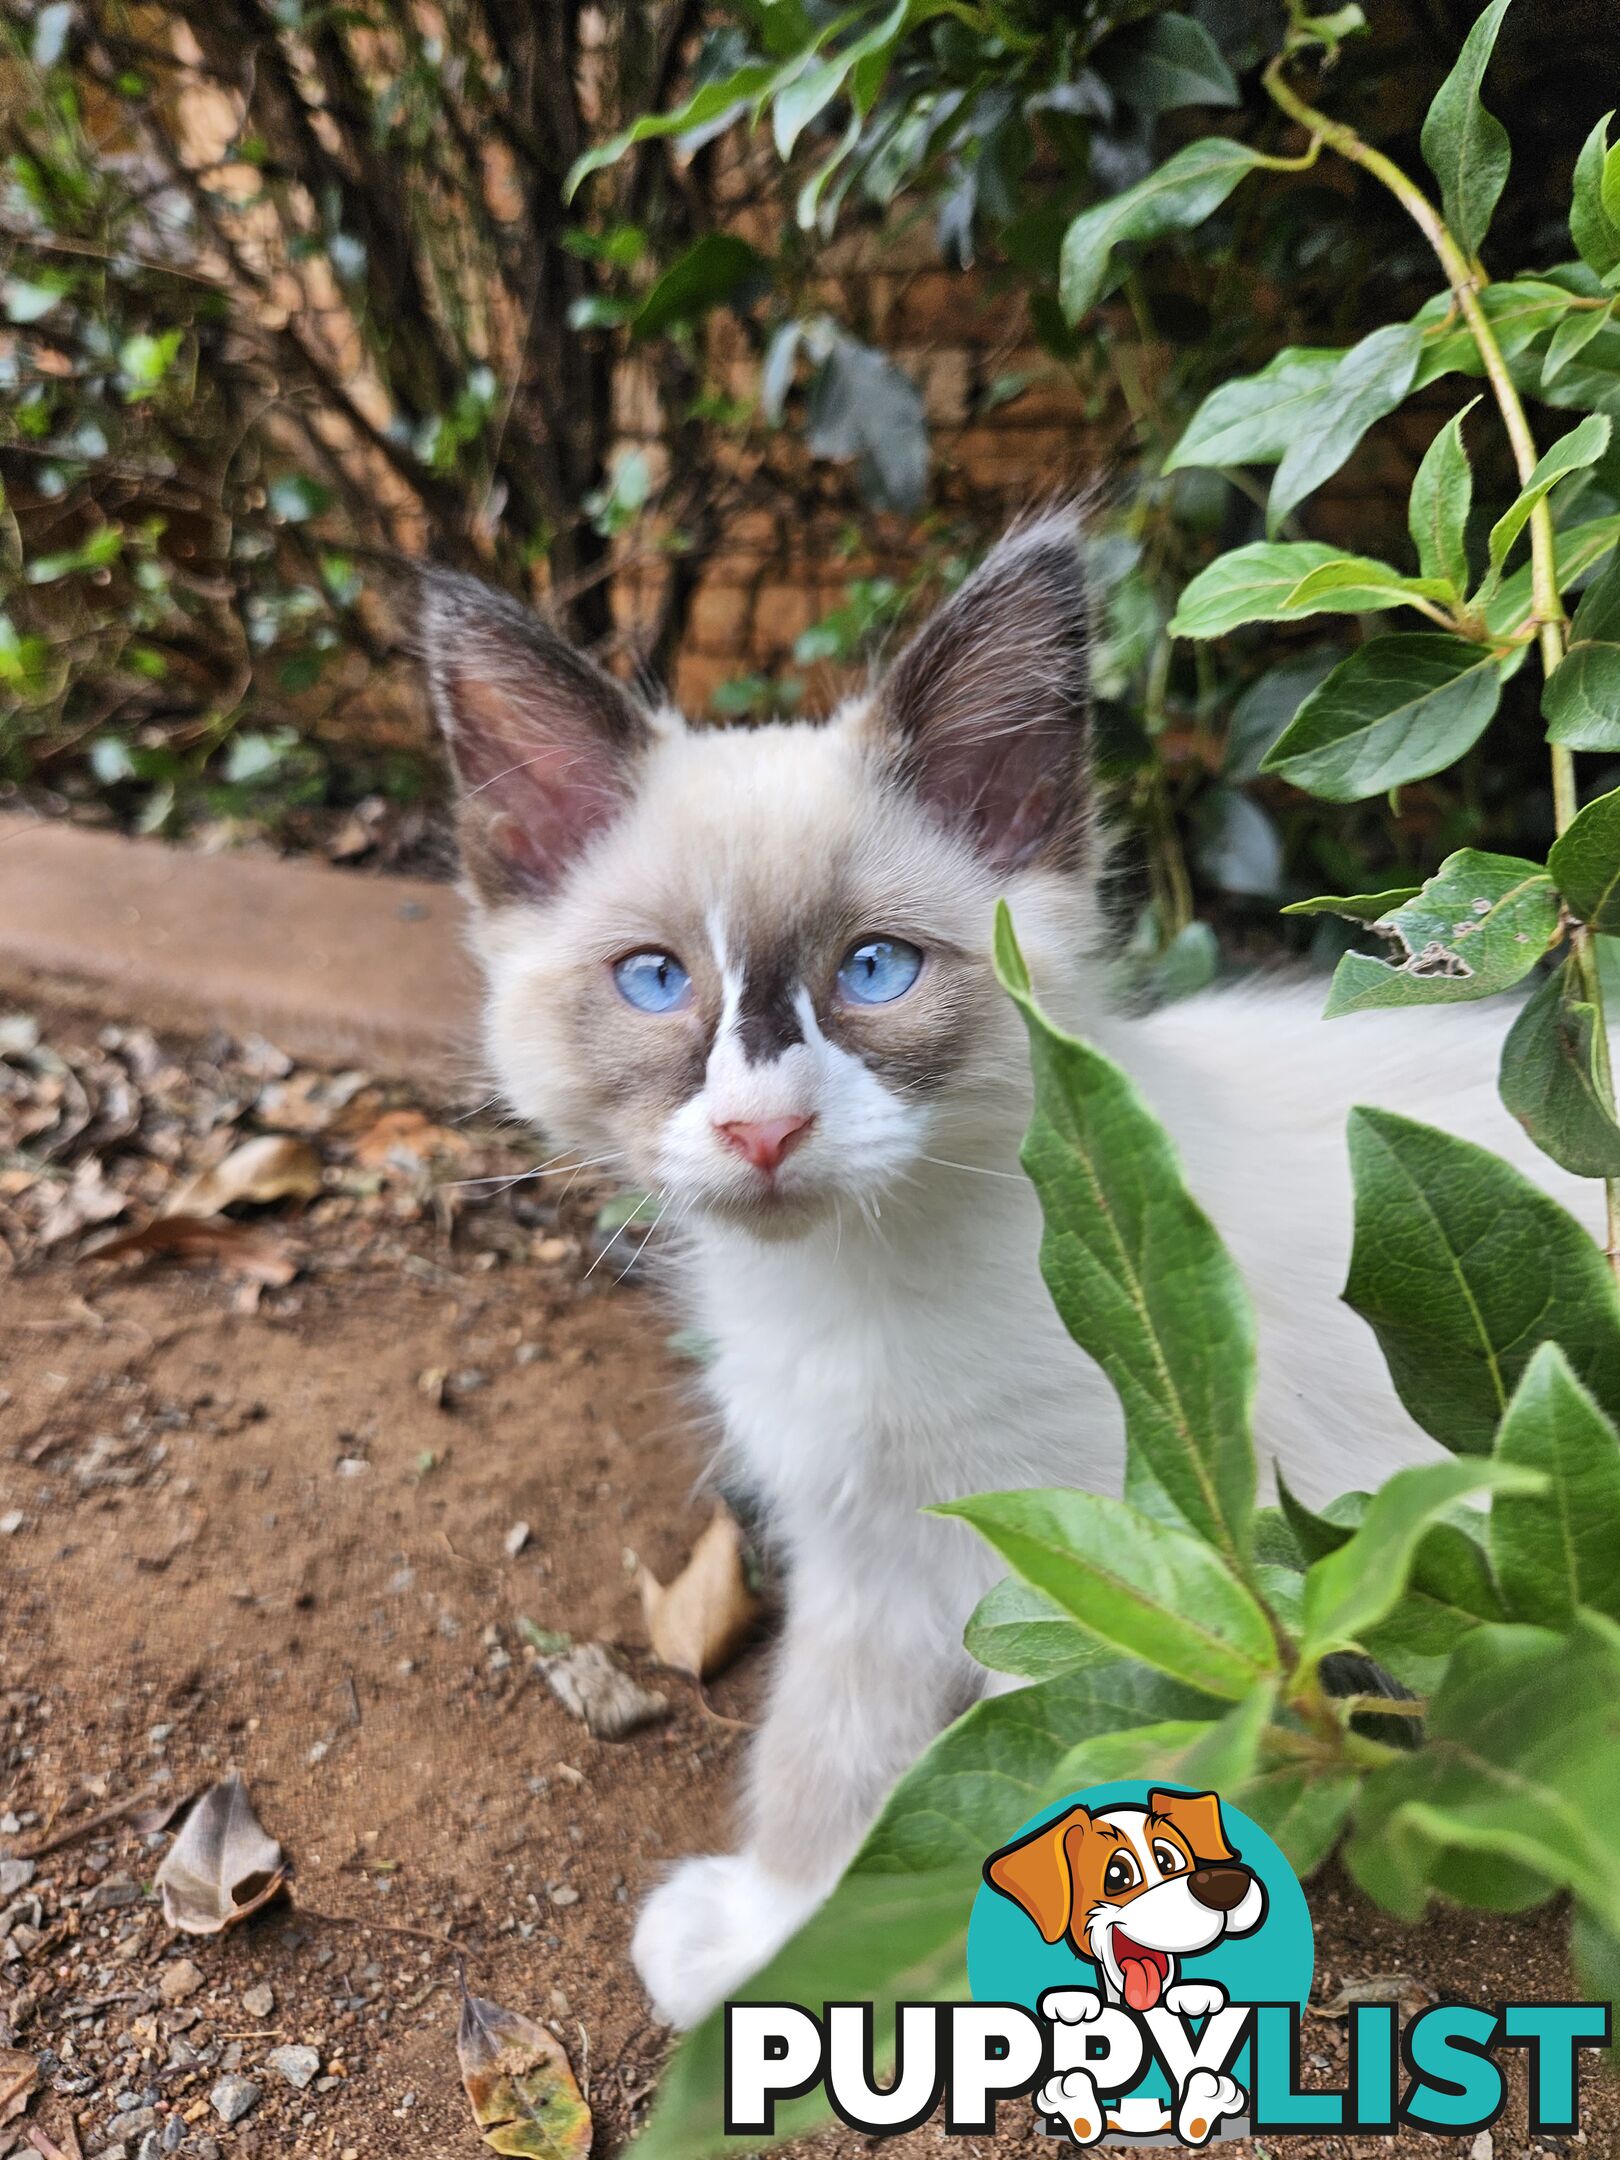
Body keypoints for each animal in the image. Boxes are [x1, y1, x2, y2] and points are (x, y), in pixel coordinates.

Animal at [419, 518, 1598, 2021]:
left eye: (874, 970)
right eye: (654, 982)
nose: (762, 1130)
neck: (855, 1290)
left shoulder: (1087, 1567)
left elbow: (1020, 1793)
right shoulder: (866, 1549)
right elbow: (826, 1746)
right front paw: (775, 1934)